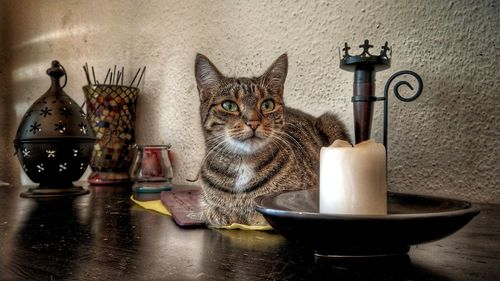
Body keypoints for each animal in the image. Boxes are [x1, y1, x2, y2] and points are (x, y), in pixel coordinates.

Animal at [193, 53, 350, 226]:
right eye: (229, 105)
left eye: (268, 105)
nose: (253, 122)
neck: (243, 165)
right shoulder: (207, 205)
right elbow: (211, 212)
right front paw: (223, 213)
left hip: (331, 121)